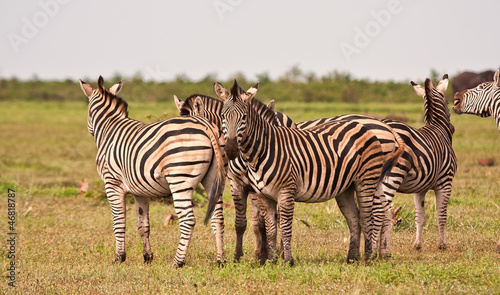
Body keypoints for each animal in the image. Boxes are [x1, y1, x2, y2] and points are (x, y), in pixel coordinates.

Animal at [79, 77, 227, 268]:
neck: (109, 129)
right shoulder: (140, 190)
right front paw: (147, 257)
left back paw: (178, 262)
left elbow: (118, 222)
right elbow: (143, 225)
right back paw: (220, 259)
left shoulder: (112, 183)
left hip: (180, 179)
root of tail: (205, 124)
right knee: (218, 218)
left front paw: (119, 257)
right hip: (213, 178)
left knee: (188, 220)